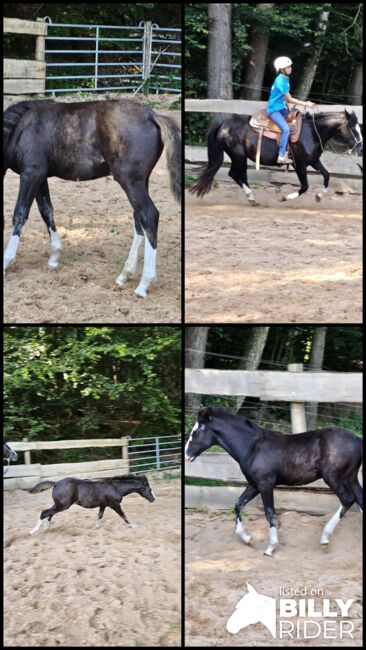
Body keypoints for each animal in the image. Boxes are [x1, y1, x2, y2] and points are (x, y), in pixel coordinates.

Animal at [2, 98, 180, 296]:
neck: (21, 128)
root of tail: (152, 116)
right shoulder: (41, 178)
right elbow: (46, 211)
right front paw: (54, 255)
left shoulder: (31, 174)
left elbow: (20, 214)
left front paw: (6, 261)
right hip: (141, 182)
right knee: (139, 220)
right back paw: (125, 275)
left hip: (131, 182)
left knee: (149, 216)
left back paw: (144, 284)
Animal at [184, 404, 362, 552]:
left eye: (197, 431)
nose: (186, 455)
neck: (252, 447)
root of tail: (357, 440)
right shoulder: (254, 484)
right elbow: (238, 504)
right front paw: (247, 539)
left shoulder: (265, 484)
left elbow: (269, 512)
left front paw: (271, 547)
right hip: (351, 478)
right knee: (360, 499)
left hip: (333, 477)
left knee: (348, 499)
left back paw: (324, 539)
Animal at [190, 110, 362, 204]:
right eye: (353, 128)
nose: (360, 149)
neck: (312, 132)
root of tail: (223, 125)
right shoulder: (299, 165)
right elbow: (305, 186)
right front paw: (285, 198)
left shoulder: (314, 161)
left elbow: (327, 176)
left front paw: (319, 196)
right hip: (238, 156)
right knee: (233, 174)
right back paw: (251, 196)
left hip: (241, 158)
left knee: (241, 175)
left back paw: (252, 198)